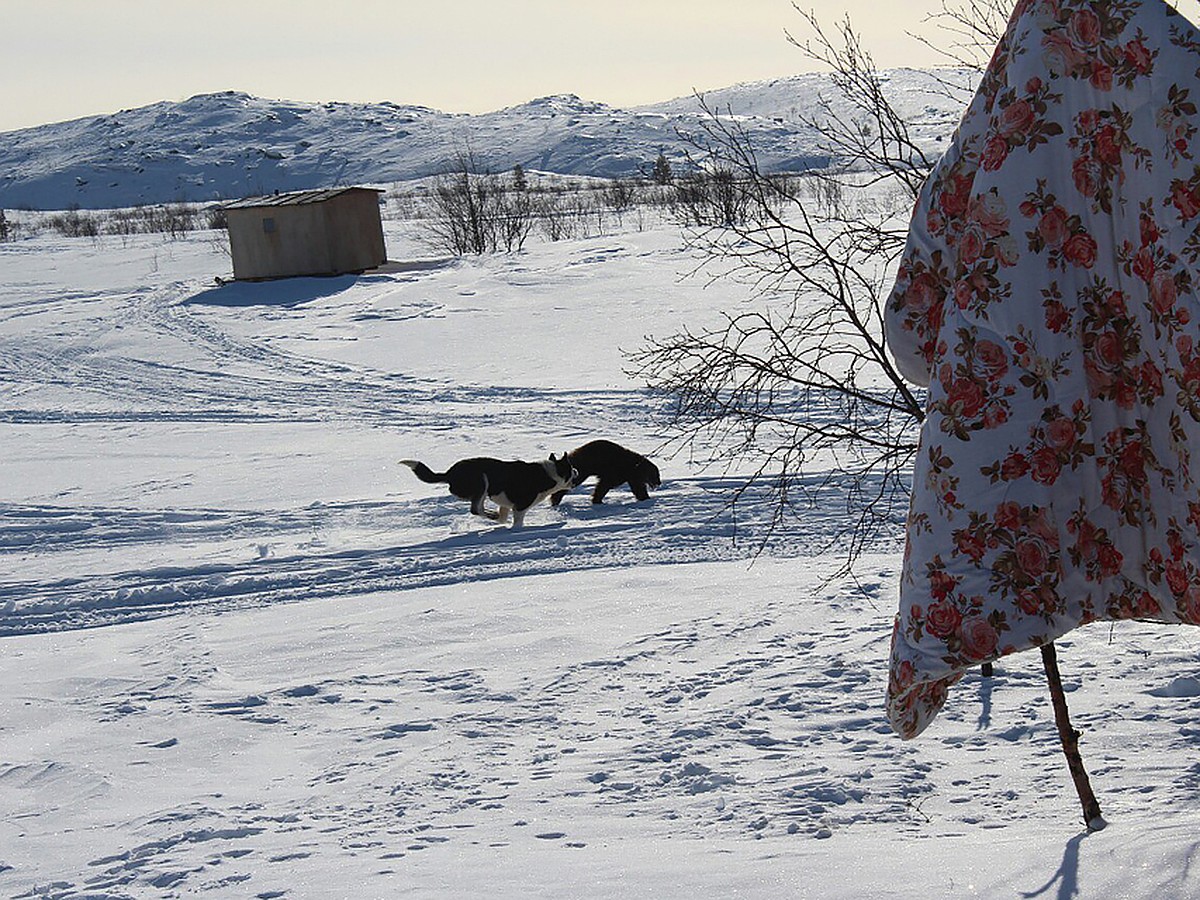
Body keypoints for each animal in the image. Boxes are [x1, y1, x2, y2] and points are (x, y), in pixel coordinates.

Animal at [398, 451, 576, 528]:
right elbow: (517, 522)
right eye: (571, 468)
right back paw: (490, 515)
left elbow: (503, 518)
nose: (577, 471)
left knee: (478, 509)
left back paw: (492, 515)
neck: (551, 473)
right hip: (482, 482)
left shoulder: (505, 504)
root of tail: (449, 473)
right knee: (475, 509)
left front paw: (498, 520)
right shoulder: (520, 507)